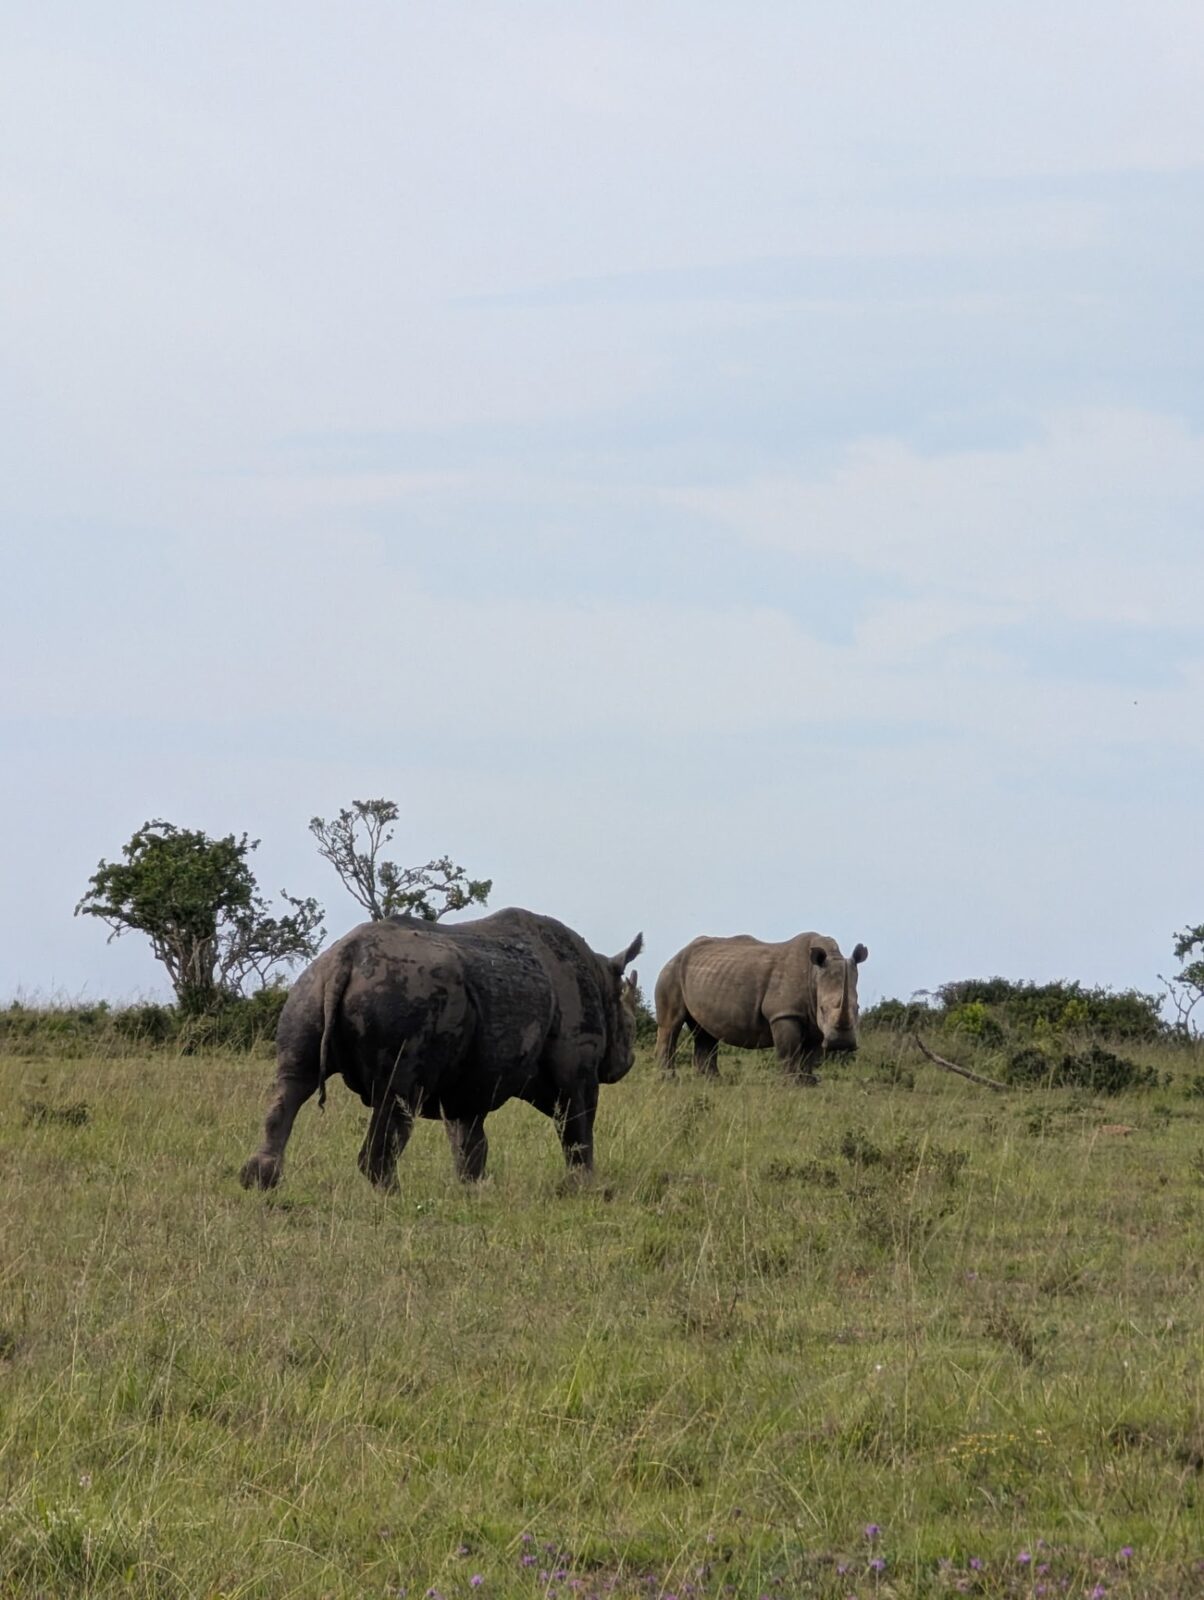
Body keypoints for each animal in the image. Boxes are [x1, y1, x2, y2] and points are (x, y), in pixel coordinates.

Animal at [240, 908, 643, 1191]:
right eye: (630, 1026)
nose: (628, 1062)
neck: (602, 978)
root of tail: (346, 957)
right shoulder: (576, 1068)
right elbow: (578, 1127)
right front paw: (588, 1188)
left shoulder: (472, 1078)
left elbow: (468, 1137)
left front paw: (474, 1188)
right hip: (403, 996)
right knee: (398, 1093)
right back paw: (394, 1195)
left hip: (307, 987)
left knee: (294, 1080)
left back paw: (259, 1182)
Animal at [654, 932, 868, 1079]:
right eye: (823, 1009)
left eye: (857, 1008)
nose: (841, 1043)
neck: (815, 975)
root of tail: (678, 952)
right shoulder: (784, 1013)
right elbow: (789, 1050)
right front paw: (792, 1082)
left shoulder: (813, 1020)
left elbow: (810, 1054)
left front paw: (809, 1082)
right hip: (671, 973)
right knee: (671, 1025)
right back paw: (669, 1079)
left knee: (704, 1031)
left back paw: (711, 1080)